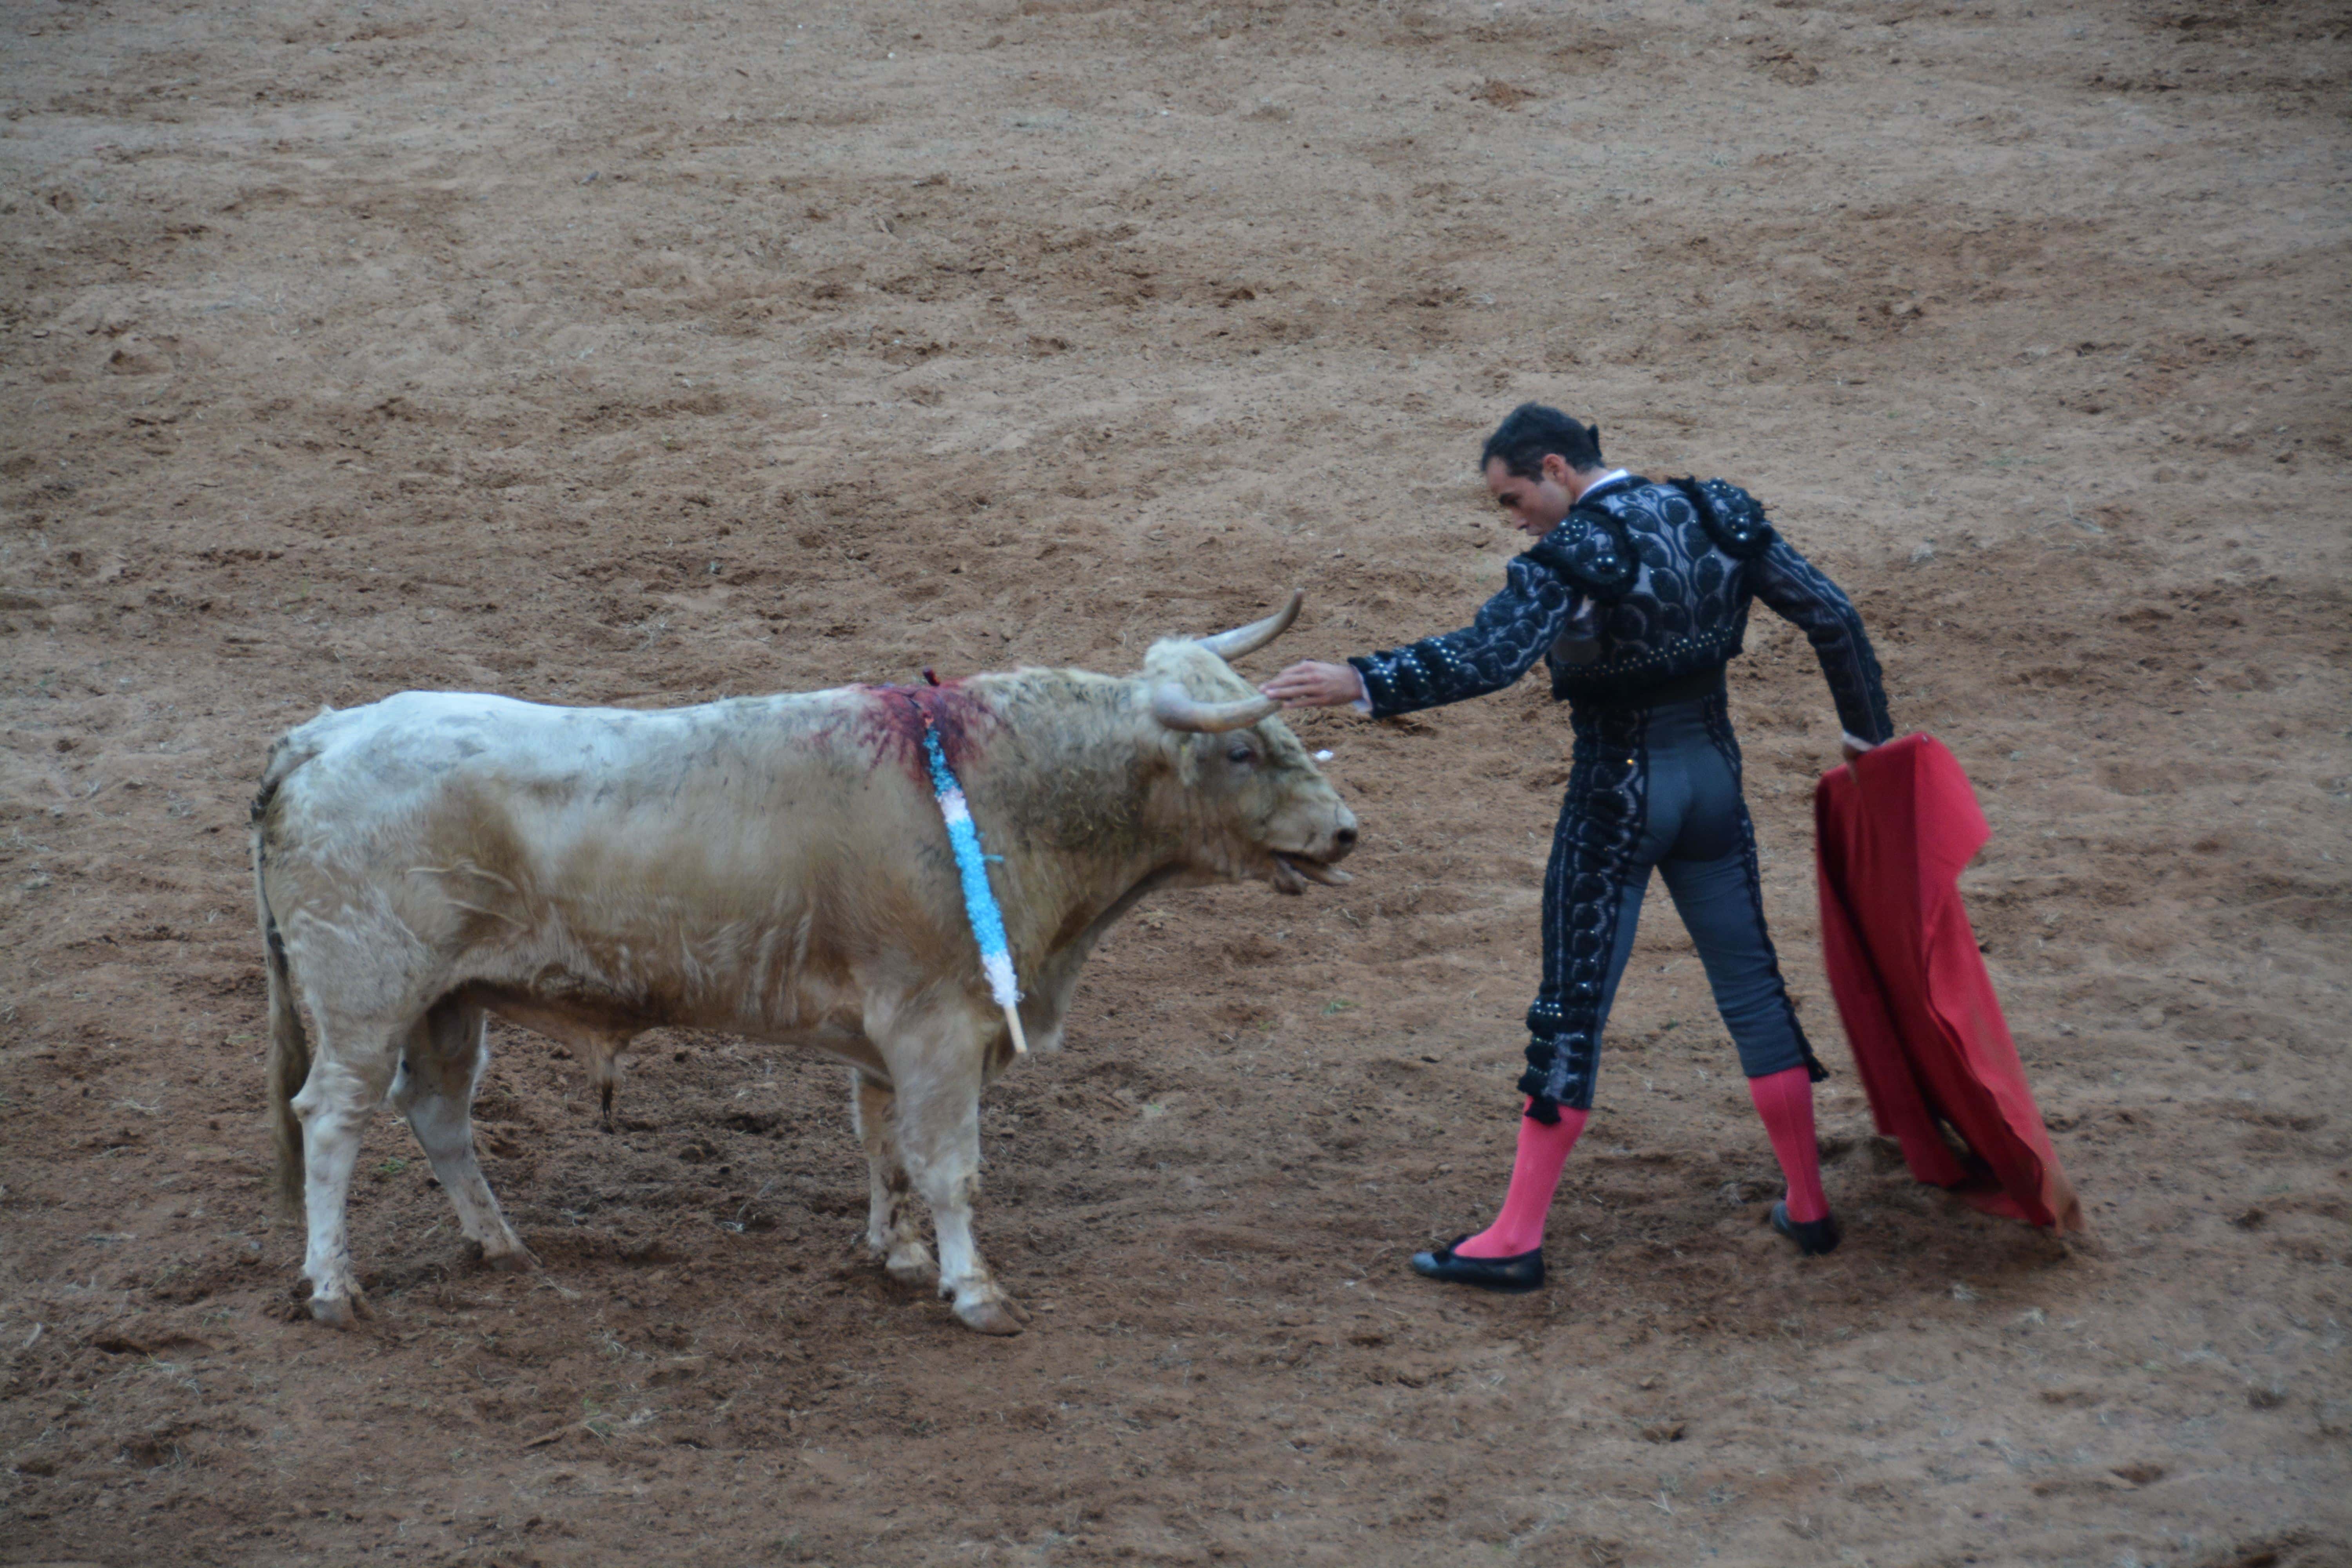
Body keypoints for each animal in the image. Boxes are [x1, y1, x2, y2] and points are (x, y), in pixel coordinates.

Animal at [248, 595, 1355, 1335]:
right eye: (1243, 751)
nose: (1345, 830)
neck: (1006, 789)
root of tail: (321, 734)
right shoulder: (940, 1028)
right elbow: (949, 1163)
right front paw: (975, 1289)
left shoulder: (888, 1037)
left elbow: (886, 1149)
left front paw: (897, 1252)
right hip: (367, 996)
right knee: (333, 1118)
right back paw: (335, 1286)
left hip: (449, 1002)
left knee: (436, 1112)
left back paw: (500, 1244)